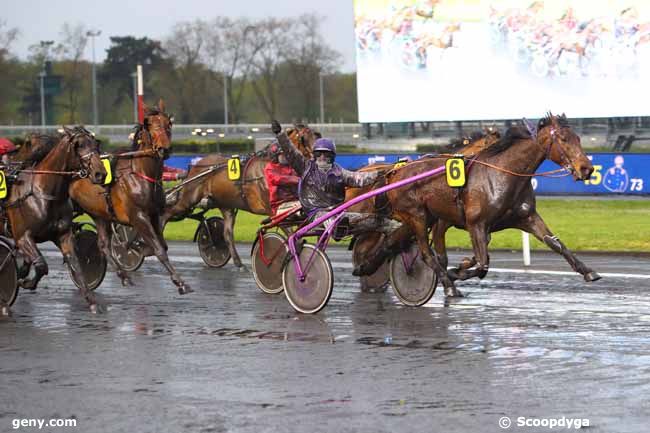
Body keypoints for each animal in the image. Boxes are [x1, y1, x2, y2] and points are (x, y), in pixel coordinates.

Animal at [1, 126, 105, 312]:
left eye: (96, 143)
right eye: (78, 145)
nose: (100, 173)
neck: (44, 193)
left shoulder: (62, 234)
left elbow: (76, 264)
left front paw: (92, 302)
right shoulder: (23, 237)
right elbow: (42, 265)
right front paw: (26, 283)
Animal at [70, 99, 194, 294]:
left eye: (168, 124)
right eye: (150, 125)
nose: (165, 149)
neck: (142, 174)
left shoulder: (154, 213)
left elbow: (161, 245)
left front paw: (138, 247)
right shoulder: (138, 216)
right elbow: (159, 249)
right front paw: (181, 282)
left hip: (99, 214)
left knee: (103, 245)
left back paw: (124, 276)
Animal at [161, 123, 316, 268]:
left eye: (316, 135)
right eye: (303, 138)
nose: (316, 156)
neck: (274, 164)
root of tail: (195, 166)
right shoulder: (272, 209)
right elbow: (289, 230)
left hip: (226, 205)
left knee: (227, 233)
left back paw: (238, 262)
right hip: (189, 198)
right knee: (166, 214)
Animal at [352, 113, 596, 296]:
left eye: (578, 138)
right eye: (563, 139)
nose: (587, 169)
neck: (503, 173)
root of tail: (394, 172)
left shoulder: (525, 217)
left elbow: (556, 243)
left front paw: (587, 270)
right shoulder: (474, 224)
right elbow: (481, 263)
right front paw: (455, 273)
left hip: (419, 218)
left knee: (391, 242)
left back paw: (365, 267)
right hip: (417, 216)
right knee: (424, 253)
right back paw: (448, 286)